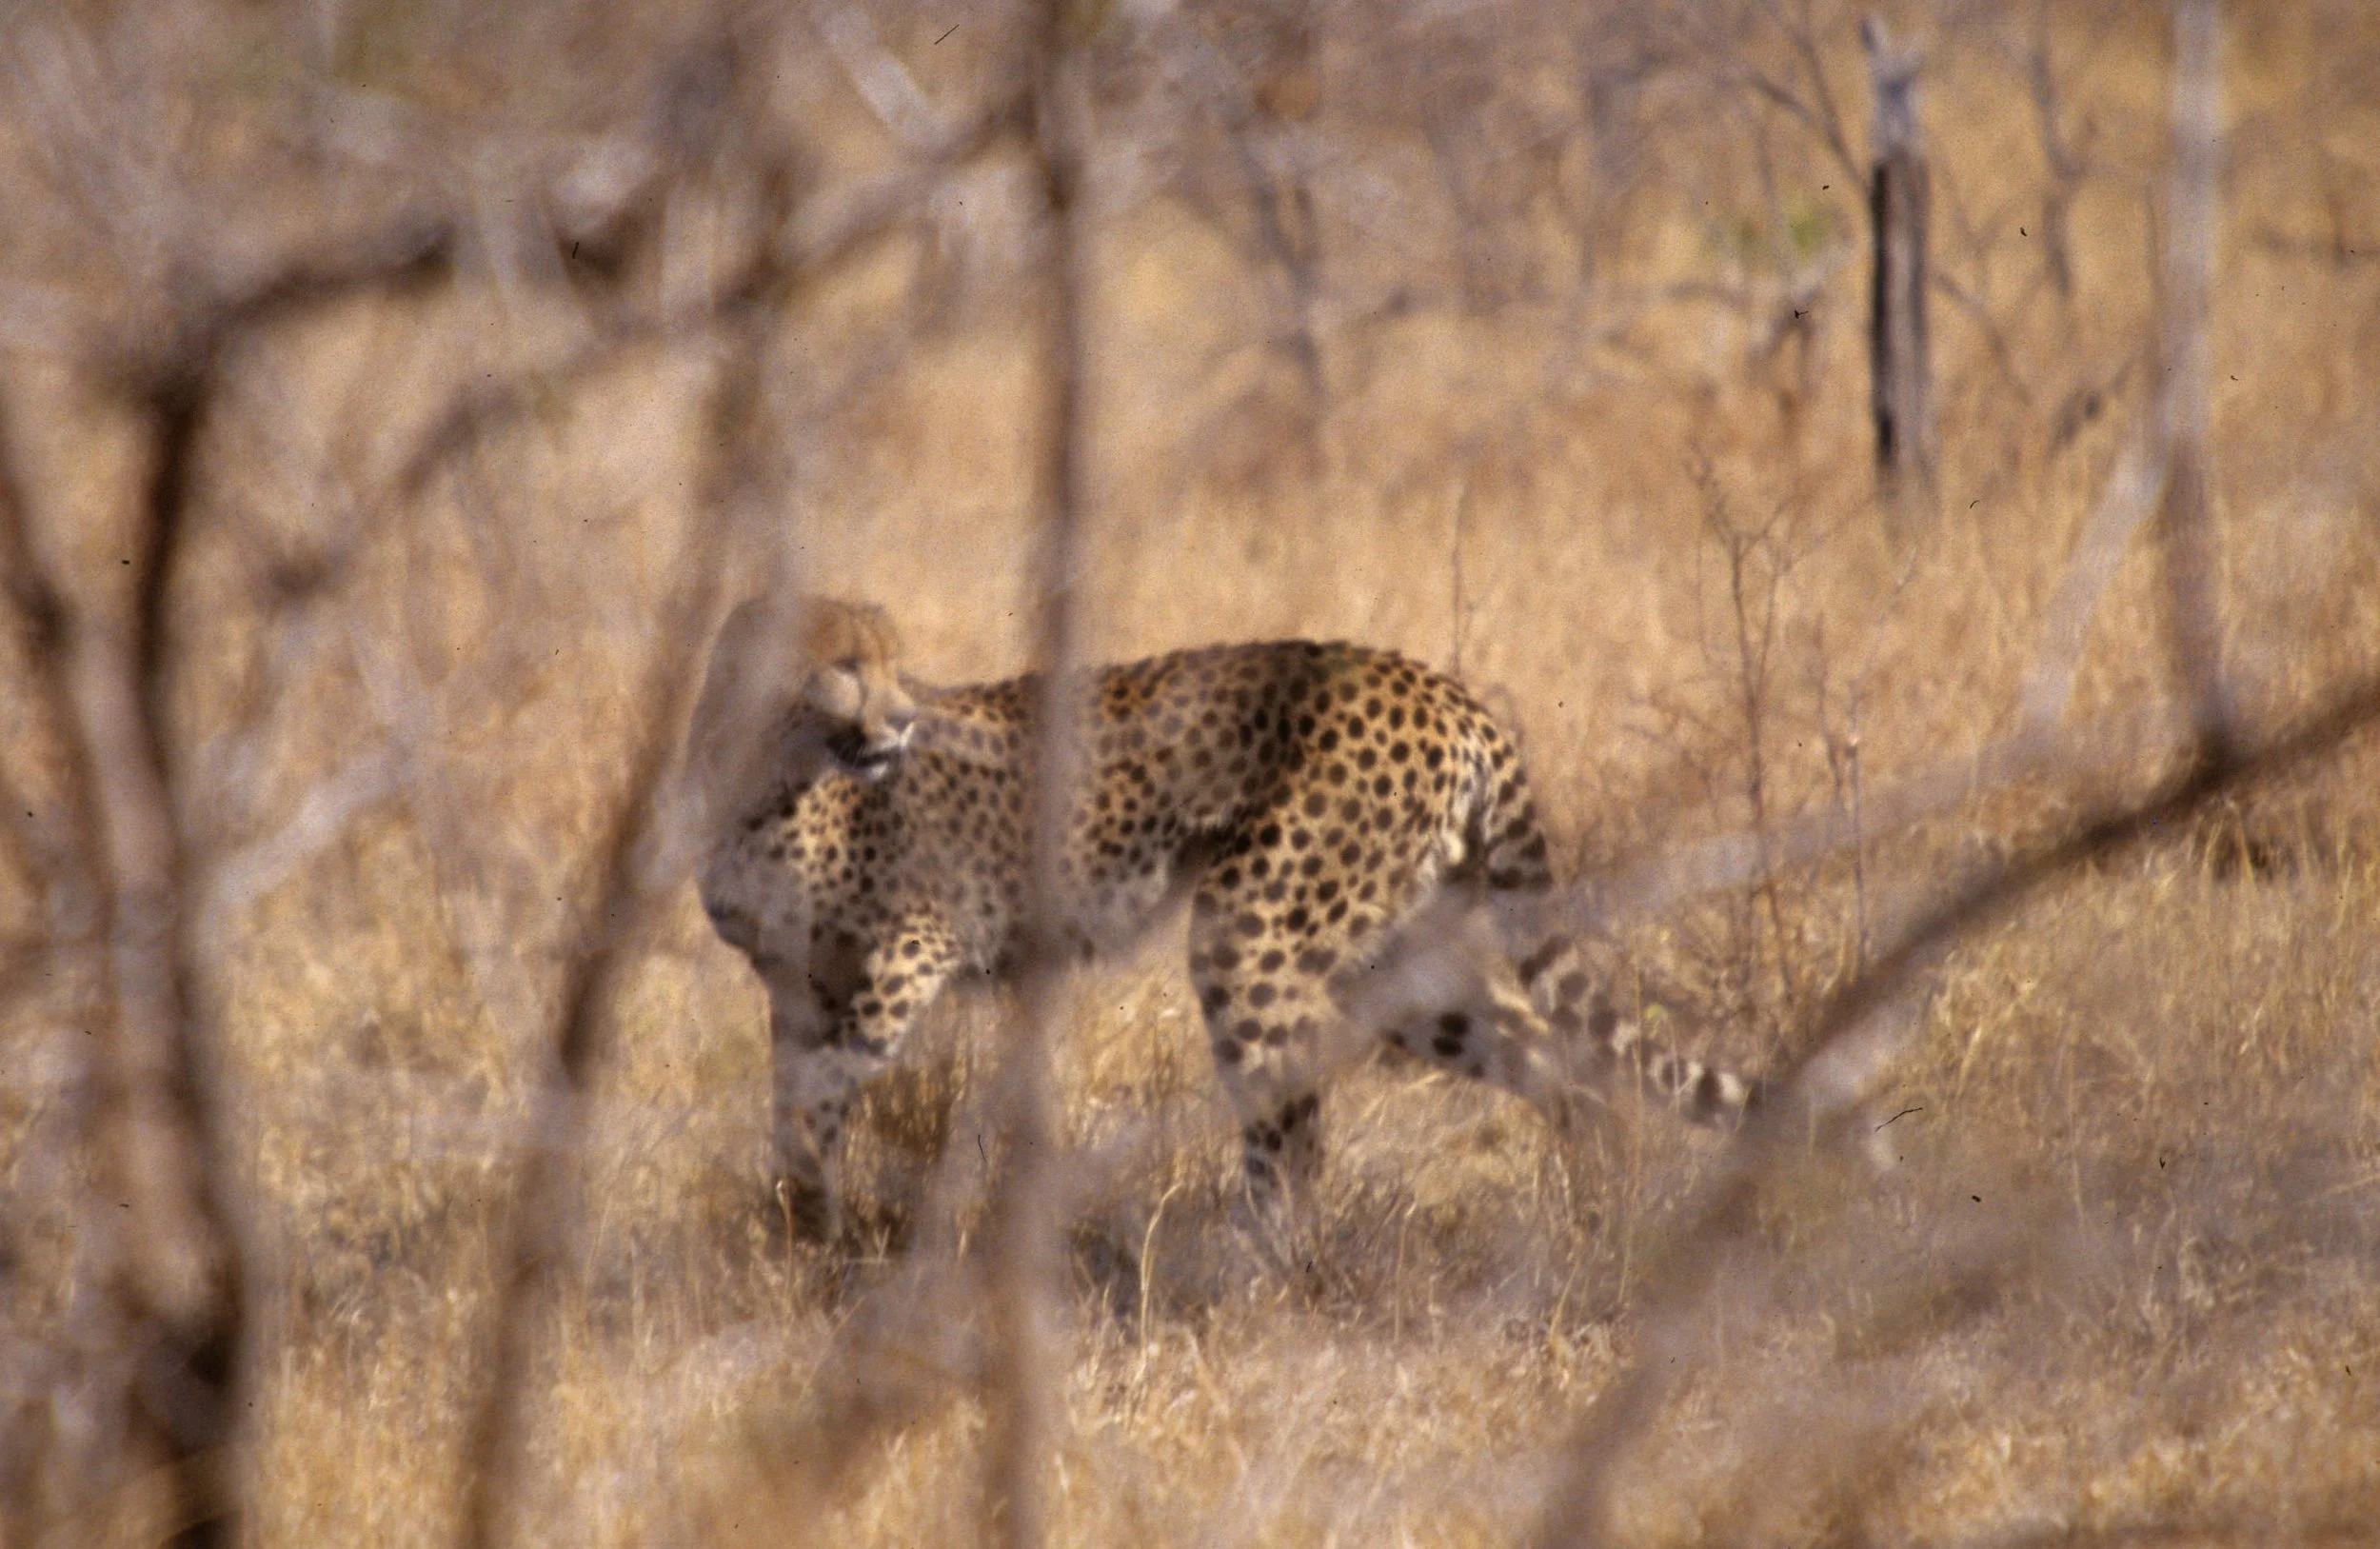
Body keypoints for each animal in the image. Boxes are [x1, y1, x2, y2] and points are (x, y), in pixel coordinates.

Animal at [692, 595, 1758, 1237]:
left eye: (891, 665)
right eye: (845, 664)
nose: (907, 719)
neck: (763, 777)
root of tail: (1437, 683)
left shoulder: (912, 949)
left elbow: (820, 1088)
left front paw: (814, 1221)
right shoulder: (791, 983)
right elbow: (796, 1101)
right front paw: (801, 1233)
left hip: (1249, 931)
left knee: (1293, 1122)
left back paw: (1249, 1270)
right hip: (1390, 957)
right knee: (1550, 1054)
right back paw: (1599, 1199)